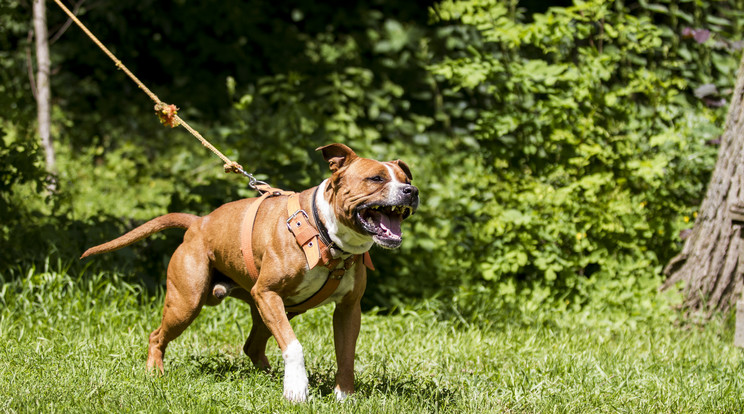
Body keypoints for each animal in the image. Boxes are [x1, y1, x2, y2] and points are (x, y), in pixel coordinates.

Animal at [83, 144, 418, 402]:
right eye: (375, 178)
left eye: (406, 178)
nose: (412, 191)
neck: (326, 237)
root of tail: (198, 222)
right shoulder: (268, 293)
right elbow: (294, 346)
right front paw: (297, 390)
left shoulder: (348, 309)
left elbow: (346, 354)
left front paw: (344, 396)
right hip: (188, 303)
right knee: (157, 336)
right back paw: (155, 372)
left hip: (269, 310)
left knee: (253, 346)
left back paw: (268, 377)